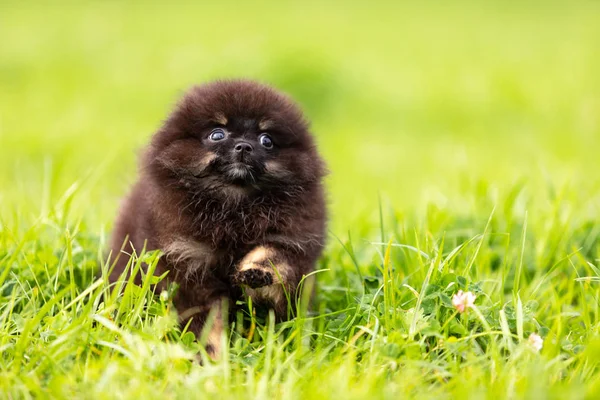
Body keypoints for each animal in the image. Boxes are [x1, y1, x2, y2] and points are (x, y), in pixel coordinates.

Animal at [106, 79, 328, 358]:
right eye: (217, 134)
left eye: (266, 140)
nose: (244, 146)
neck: (235, 206)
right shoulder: (188, 263)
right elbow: (206, 322)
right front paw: (212, 355)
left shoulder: (292, 241)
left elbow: (273, 257)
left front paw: (257, 270)